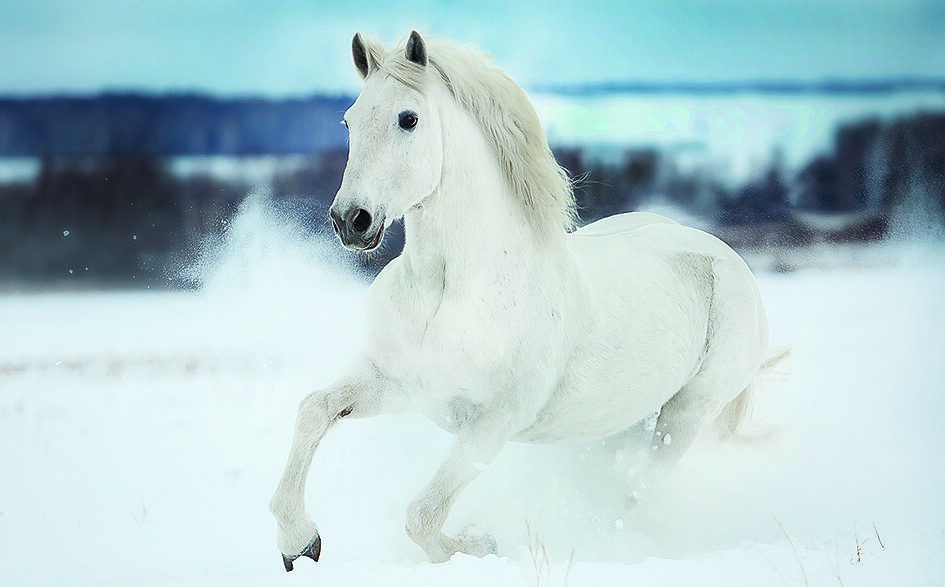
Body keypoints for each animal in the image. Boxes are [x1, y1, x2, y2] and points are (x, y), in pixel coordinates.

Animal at [270, 30, 773, 571]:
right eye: (349, 120)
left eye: (408, 118)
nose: (351, 220)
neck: (448, 294)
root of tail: (724, 255)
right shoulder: (397, 385)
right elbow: (315, 409)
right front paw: (299, 541)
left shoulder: (494, 423)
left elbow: (423, 514)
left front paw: (479, 545)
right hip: (626, 418)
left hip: (687, 414)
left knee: (642, 494)